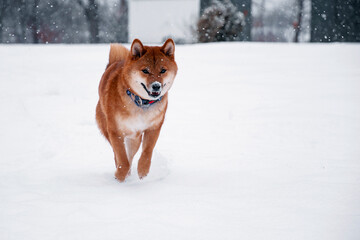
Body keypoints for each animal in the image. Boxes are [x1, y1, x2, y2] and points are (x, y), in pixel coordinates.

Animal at [95, 39, 177, 182]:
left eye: (163, 70)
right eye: (145, 70)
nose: (156, 86)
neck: (141, 103)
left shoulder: (153, 128)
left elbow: (147, 151)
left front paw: (143, 170)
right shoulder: (115, 131)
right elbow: (122, 159)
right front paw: (119, 175)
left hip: (135, 138)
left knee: (131, 155)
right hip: (108, 128)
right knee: (118, 155)